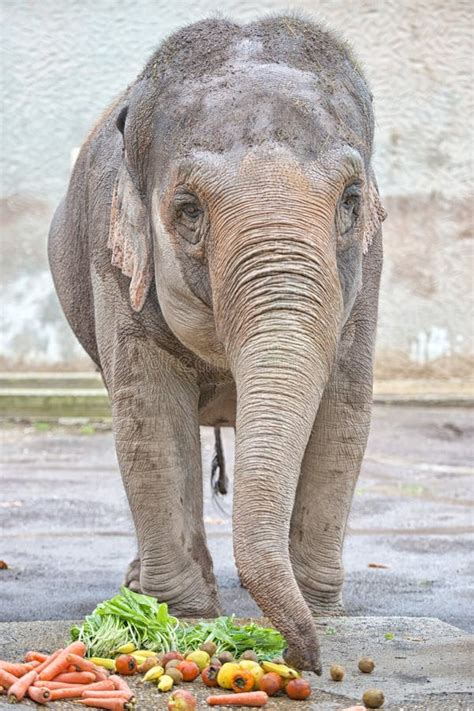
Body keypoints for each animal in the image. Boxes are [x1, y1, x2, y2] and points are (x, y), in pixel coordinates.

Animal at [48, 15, 386, 672]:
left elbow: (345, 410)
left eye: (352, 202)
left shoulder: (372, 264)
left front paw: (324, 612)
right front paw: (180, 613)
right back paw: (137, 585)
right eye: (188, 211)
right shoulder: (111, 256)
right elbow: (148, 415)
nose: (306, 661)